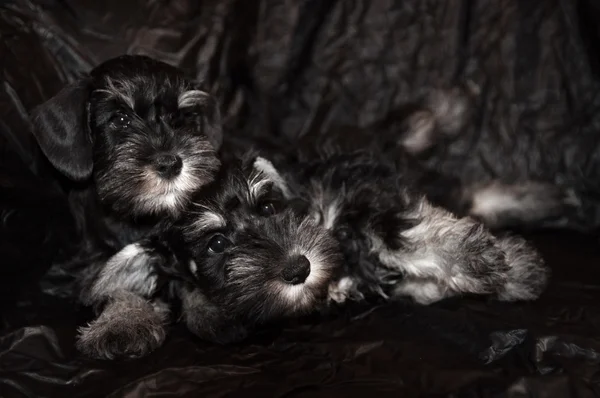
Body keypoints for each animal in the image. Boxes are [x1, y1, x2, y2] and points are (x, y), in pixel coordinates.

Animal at [77, 150, 552, 360]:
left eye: (268, 207)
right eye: (216, 243)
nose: (299, 268)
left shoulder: (362, 193)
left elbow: (403, 236)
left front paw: (494, 263)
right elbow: (155, 293)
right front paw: (120, 326)